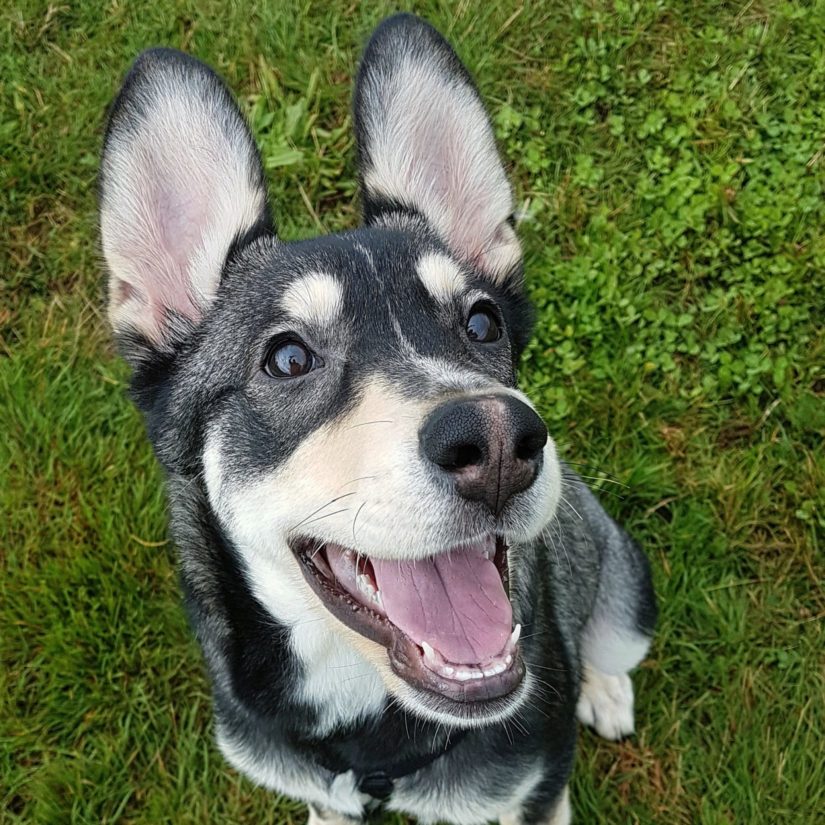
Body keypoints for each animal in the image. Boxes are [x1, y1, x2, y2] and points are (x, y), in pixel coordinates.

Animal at [98, 12, 656, 824]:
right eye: (286, 358)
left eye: (482, 322)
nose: (498, 442)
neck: (368, 722)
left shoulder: (534, 787)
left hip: (625, 586)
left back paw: (604, 687)